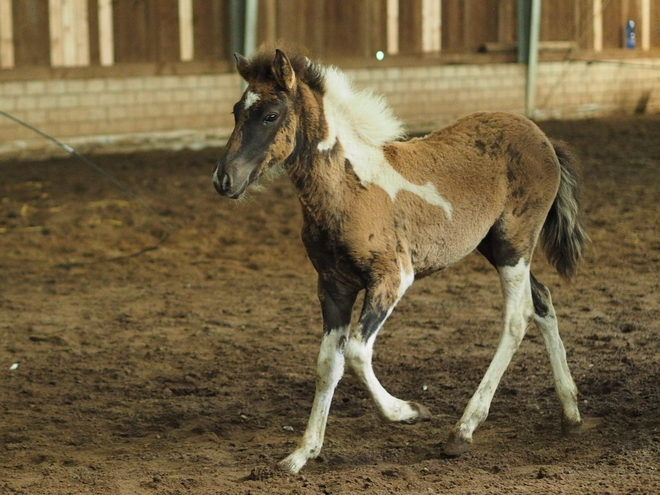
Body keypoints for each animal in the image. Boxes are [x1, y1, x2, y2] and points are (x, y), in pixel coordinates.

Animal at [213, 48, 588, 474]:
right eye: (236, 111)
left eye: (271, 115)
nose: (223, 179)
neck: (348, 188)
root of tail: (542, 137)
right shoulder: (333, 287)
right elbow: (328, 363)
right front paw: (301, 453)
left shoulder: (393, 278)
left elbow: (356, 353)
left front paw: (409, 412)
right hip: (494, 246)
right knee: (542, 301)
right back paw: (571, 414)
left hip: (515, 244)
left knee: (517, 317)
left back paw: (463, 430)